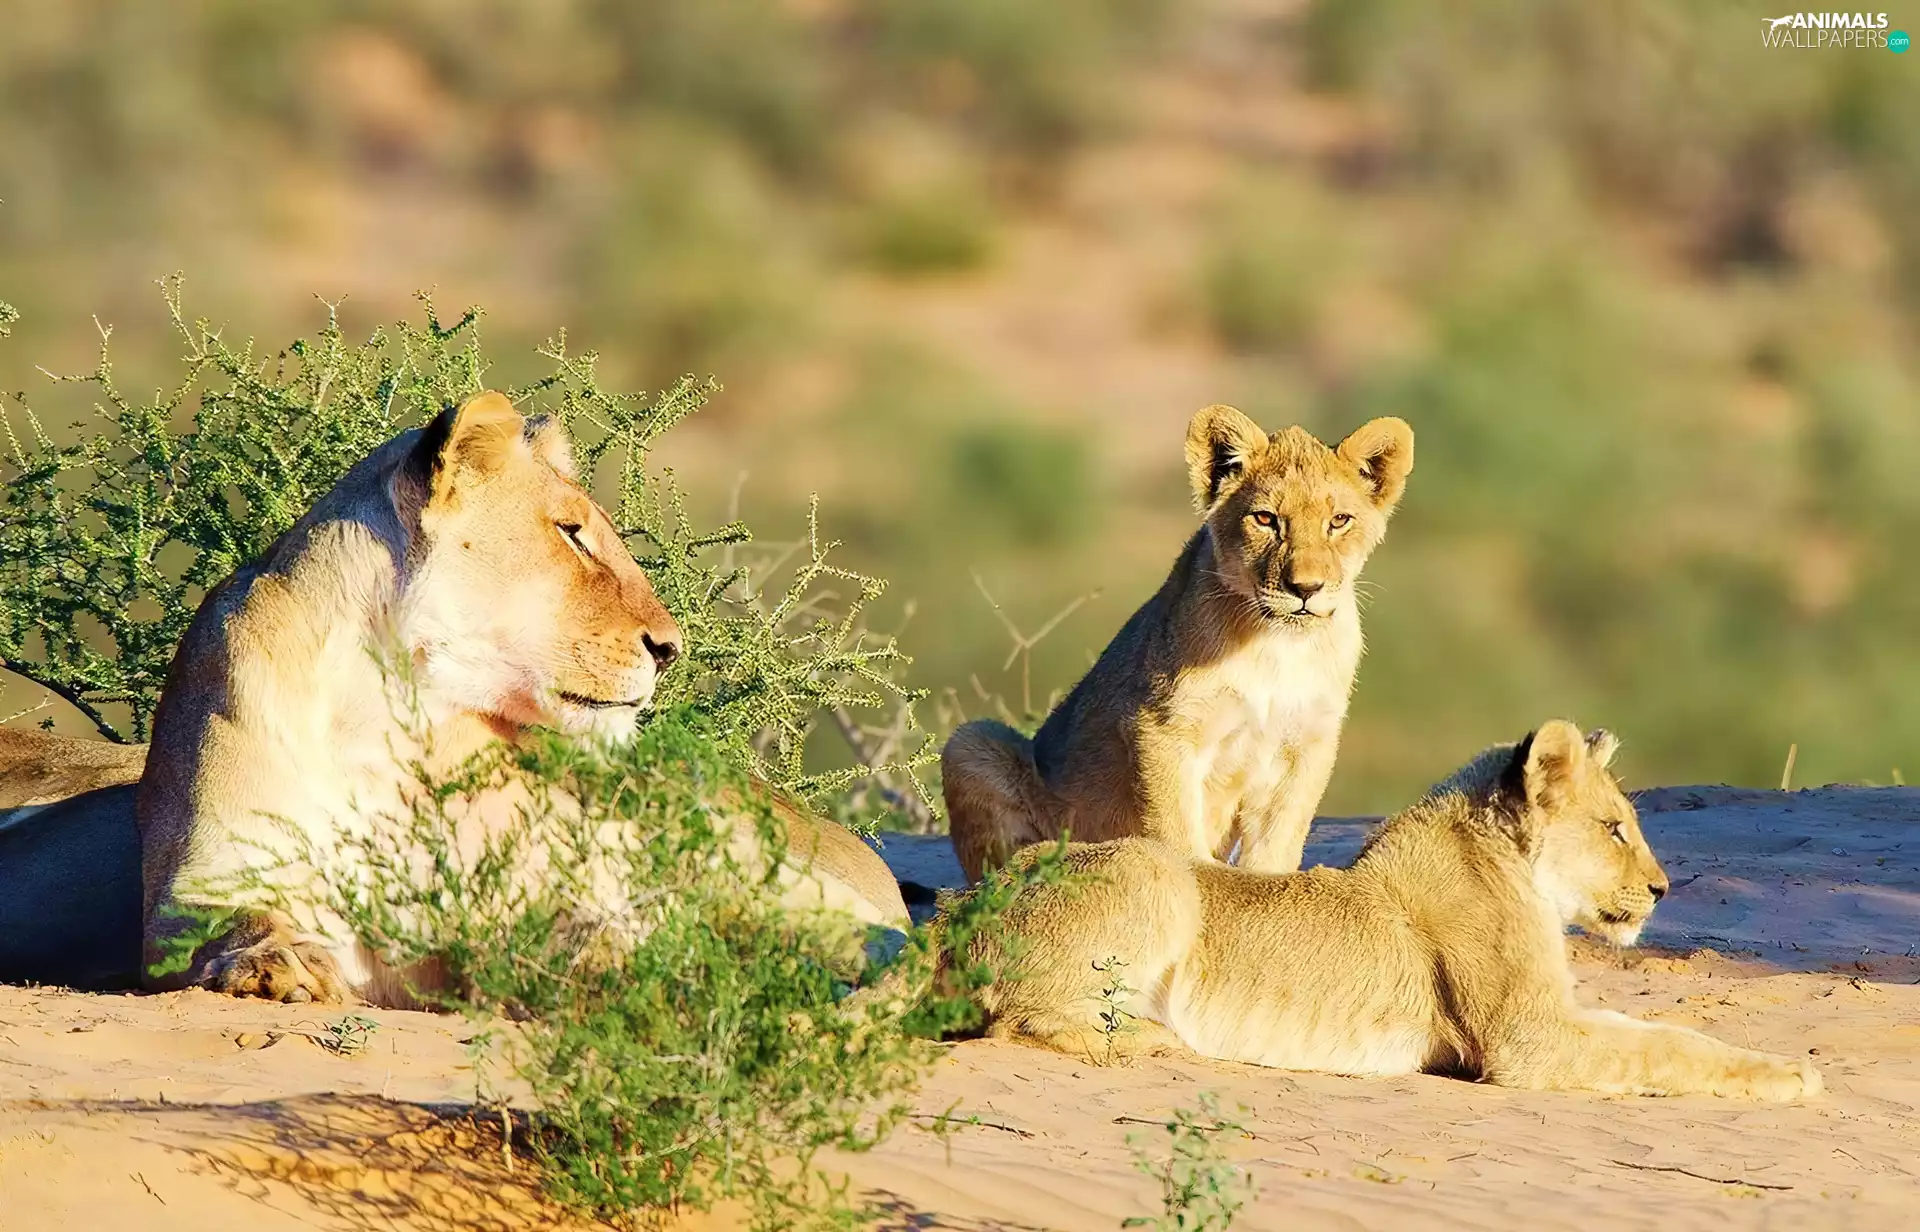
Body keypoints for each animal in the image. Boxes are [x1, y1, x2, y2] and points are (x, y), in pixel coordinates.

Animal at [122, 390, 906, 1005]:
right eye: (571, 534)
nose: (671, 647)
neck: (391, 711)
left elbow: (569, 927)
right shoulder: (200, 880)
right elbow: (238, 920)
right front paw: (277, 964)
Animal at [943, 405, 1413, 881]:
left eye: (1339, 521)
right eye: (1265, 519)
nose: (1305, 588)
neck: (1276, 645)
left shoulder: (1306, 744)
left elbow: (1275, 846)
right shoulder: (1161, 728)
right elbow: (1177, 835)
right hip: (970, 742)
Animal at [955, 719, 1821, 1100]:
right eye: (1615, 828)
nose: (1661, 889)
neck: (1513, 864)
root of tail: (955, 920)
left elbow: (1666, 1034)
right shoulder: (1524, 1041)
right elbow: (1663, 1051)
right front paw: (1793, 1077)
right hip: (1155, 871)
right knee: (1018, 1021)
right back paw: (1155, 1038)